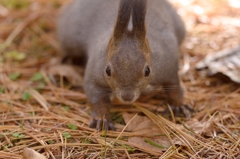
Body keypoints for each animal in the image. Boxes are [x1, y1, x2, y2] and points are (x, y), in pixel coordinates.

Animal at [57, 0, 187, 130]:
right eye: (107, 70)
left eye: (147, 71)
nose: (127, 96)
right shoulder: (95, 70)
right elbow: (95, 95)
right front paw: (101, 117)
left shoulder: (167, 63)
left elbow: (174, 85)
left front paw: (177, 105)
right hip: (70, 36)